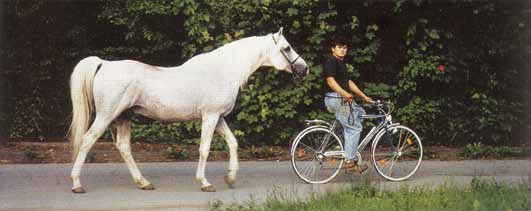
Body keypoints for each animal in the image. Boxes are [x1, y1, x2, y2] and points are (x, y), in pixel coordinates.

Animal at [68, 27, 310, 193]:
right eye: (287, 48)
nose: (304, 68)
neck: (223, 70)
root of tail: (104, 64)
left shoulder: (219, 119)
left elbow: (233, 143)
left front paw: (230, 178)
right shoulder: (210, 117)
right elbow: (204, 149)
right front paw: (205, 183)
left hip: (123, 118)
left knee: (124, 147)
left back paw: (144, 182)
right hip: (106, 115)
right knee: (88, 141)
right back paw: (77, 184)